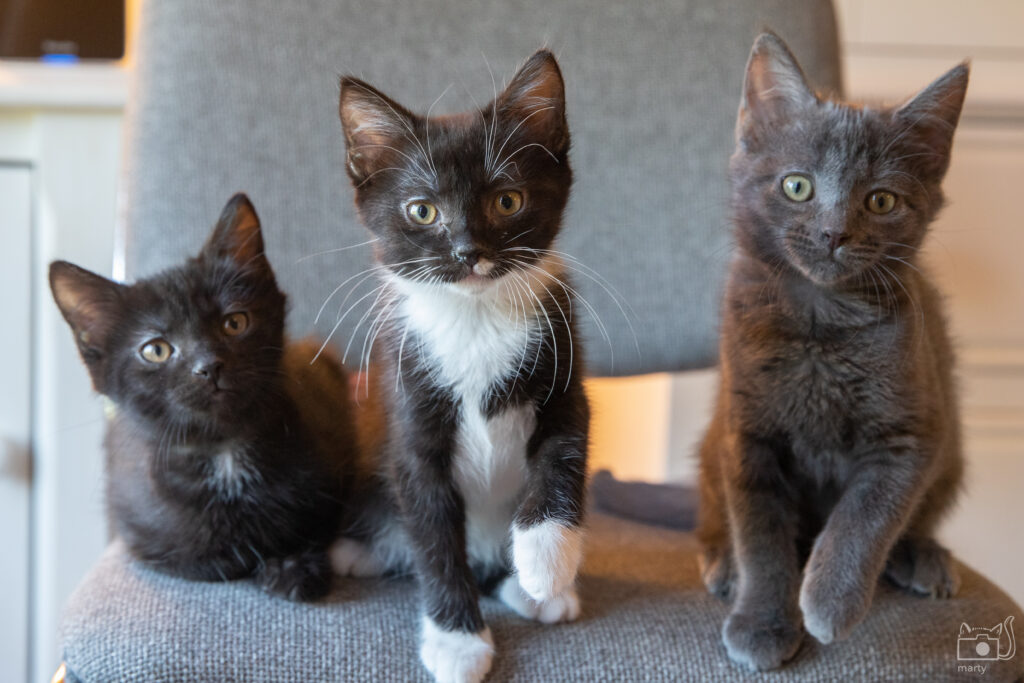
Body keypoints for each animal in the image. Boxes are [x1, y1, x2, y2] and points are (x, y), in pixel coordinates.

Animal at [50, 194, 360, 602]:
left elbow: (317, 524)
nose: (209, 366)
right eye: (156, 350)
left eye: (235, 322)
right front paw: (245, 556)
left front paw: (293, 565)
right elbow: (199, 557)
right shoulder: (137, 526)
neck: (224, 452)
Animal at [335, 49, 589, 683]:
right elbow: (432, 534)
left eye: (507, 201)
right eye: (422, 211)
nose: (467, 252)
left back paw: (528, 588)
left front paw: (546, 560)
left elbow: (564, 450)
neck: (476, 318)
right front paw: (457, 639)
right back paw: (357, 549)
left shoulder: (564, 355)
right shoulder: (408, 405)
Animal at [700, 33, 970, 671]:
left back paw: (923, 557)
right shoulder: (746, 433)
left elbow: (865, 517)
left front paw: (830, 601)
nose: (833, 233)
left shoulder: (914, 433)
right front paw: (762, 621)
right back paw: (724, 564)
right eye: (797, 185)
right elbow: (761, 534)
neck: (821, 325)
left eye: (881, 201)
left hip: (952, 458)